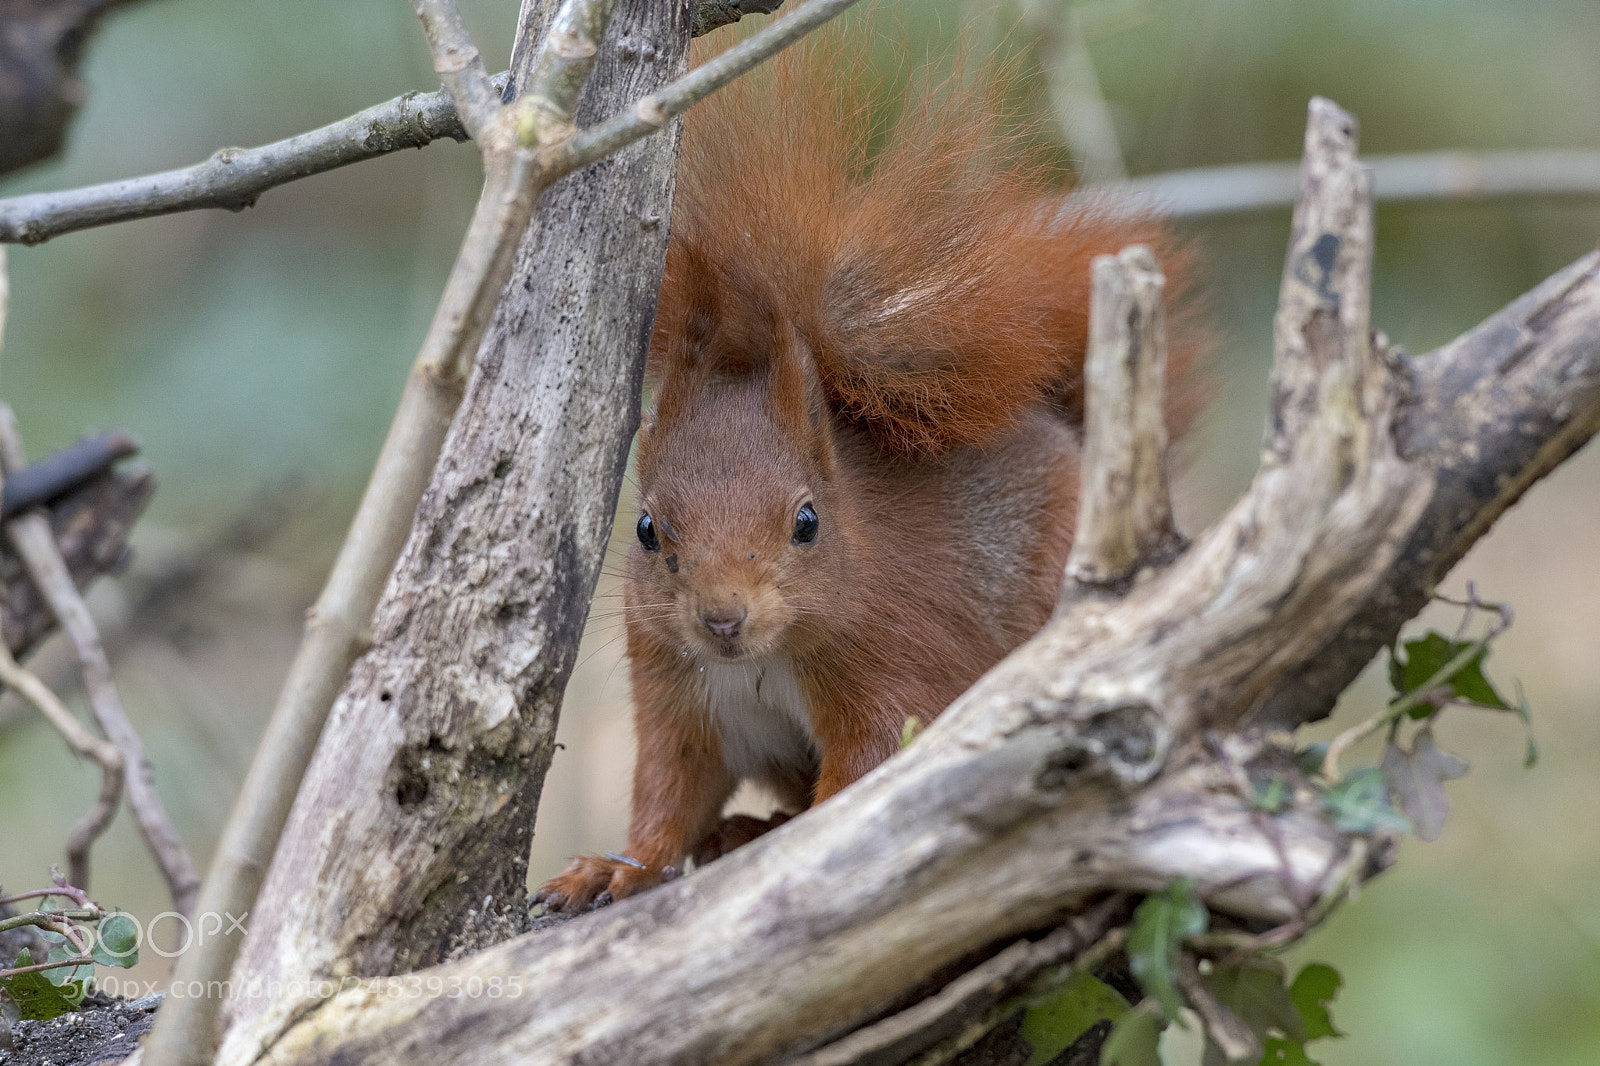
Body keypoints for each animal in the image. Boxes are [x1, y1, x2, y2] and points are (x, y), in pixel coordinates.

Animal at [535, 29, 1201, 913]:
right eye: (646, 529)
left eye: (807, 522)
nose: (722, 620)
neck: (761, 663)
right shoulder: (678, 696)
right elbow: (668, 796)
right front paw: (614, 867)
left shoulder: (895, 660)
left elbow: (864, 780)